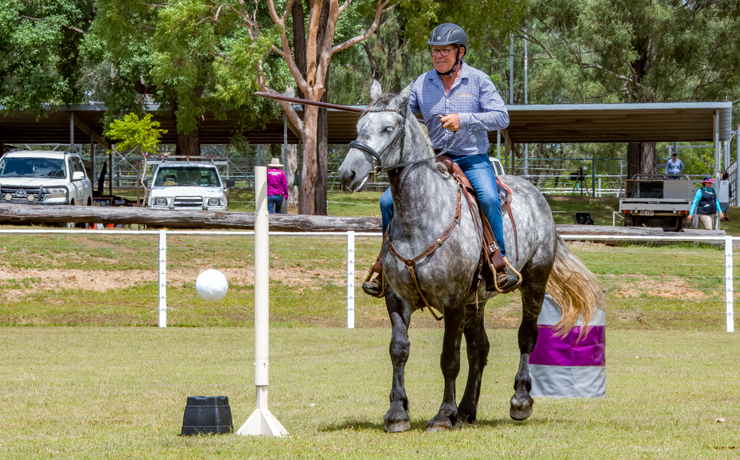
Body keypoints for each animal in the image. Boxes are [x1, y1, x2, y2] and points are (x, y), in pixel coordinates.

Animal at [338, 81, 604, 432]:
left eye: (388, 129)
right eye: (359, 127)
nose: (347, 174)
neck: (423, 216)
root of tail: (537, 195)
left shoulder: (452, 301)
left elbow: (449, 358)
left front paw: (442, 415)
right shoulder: (397, 298)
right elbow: (399, 350)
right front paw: (397, 412)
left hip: (534, 282)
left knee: (526, 337)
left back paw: (519, 401)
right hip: (475, 302)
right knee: (480, 349)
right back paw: (466, 410)